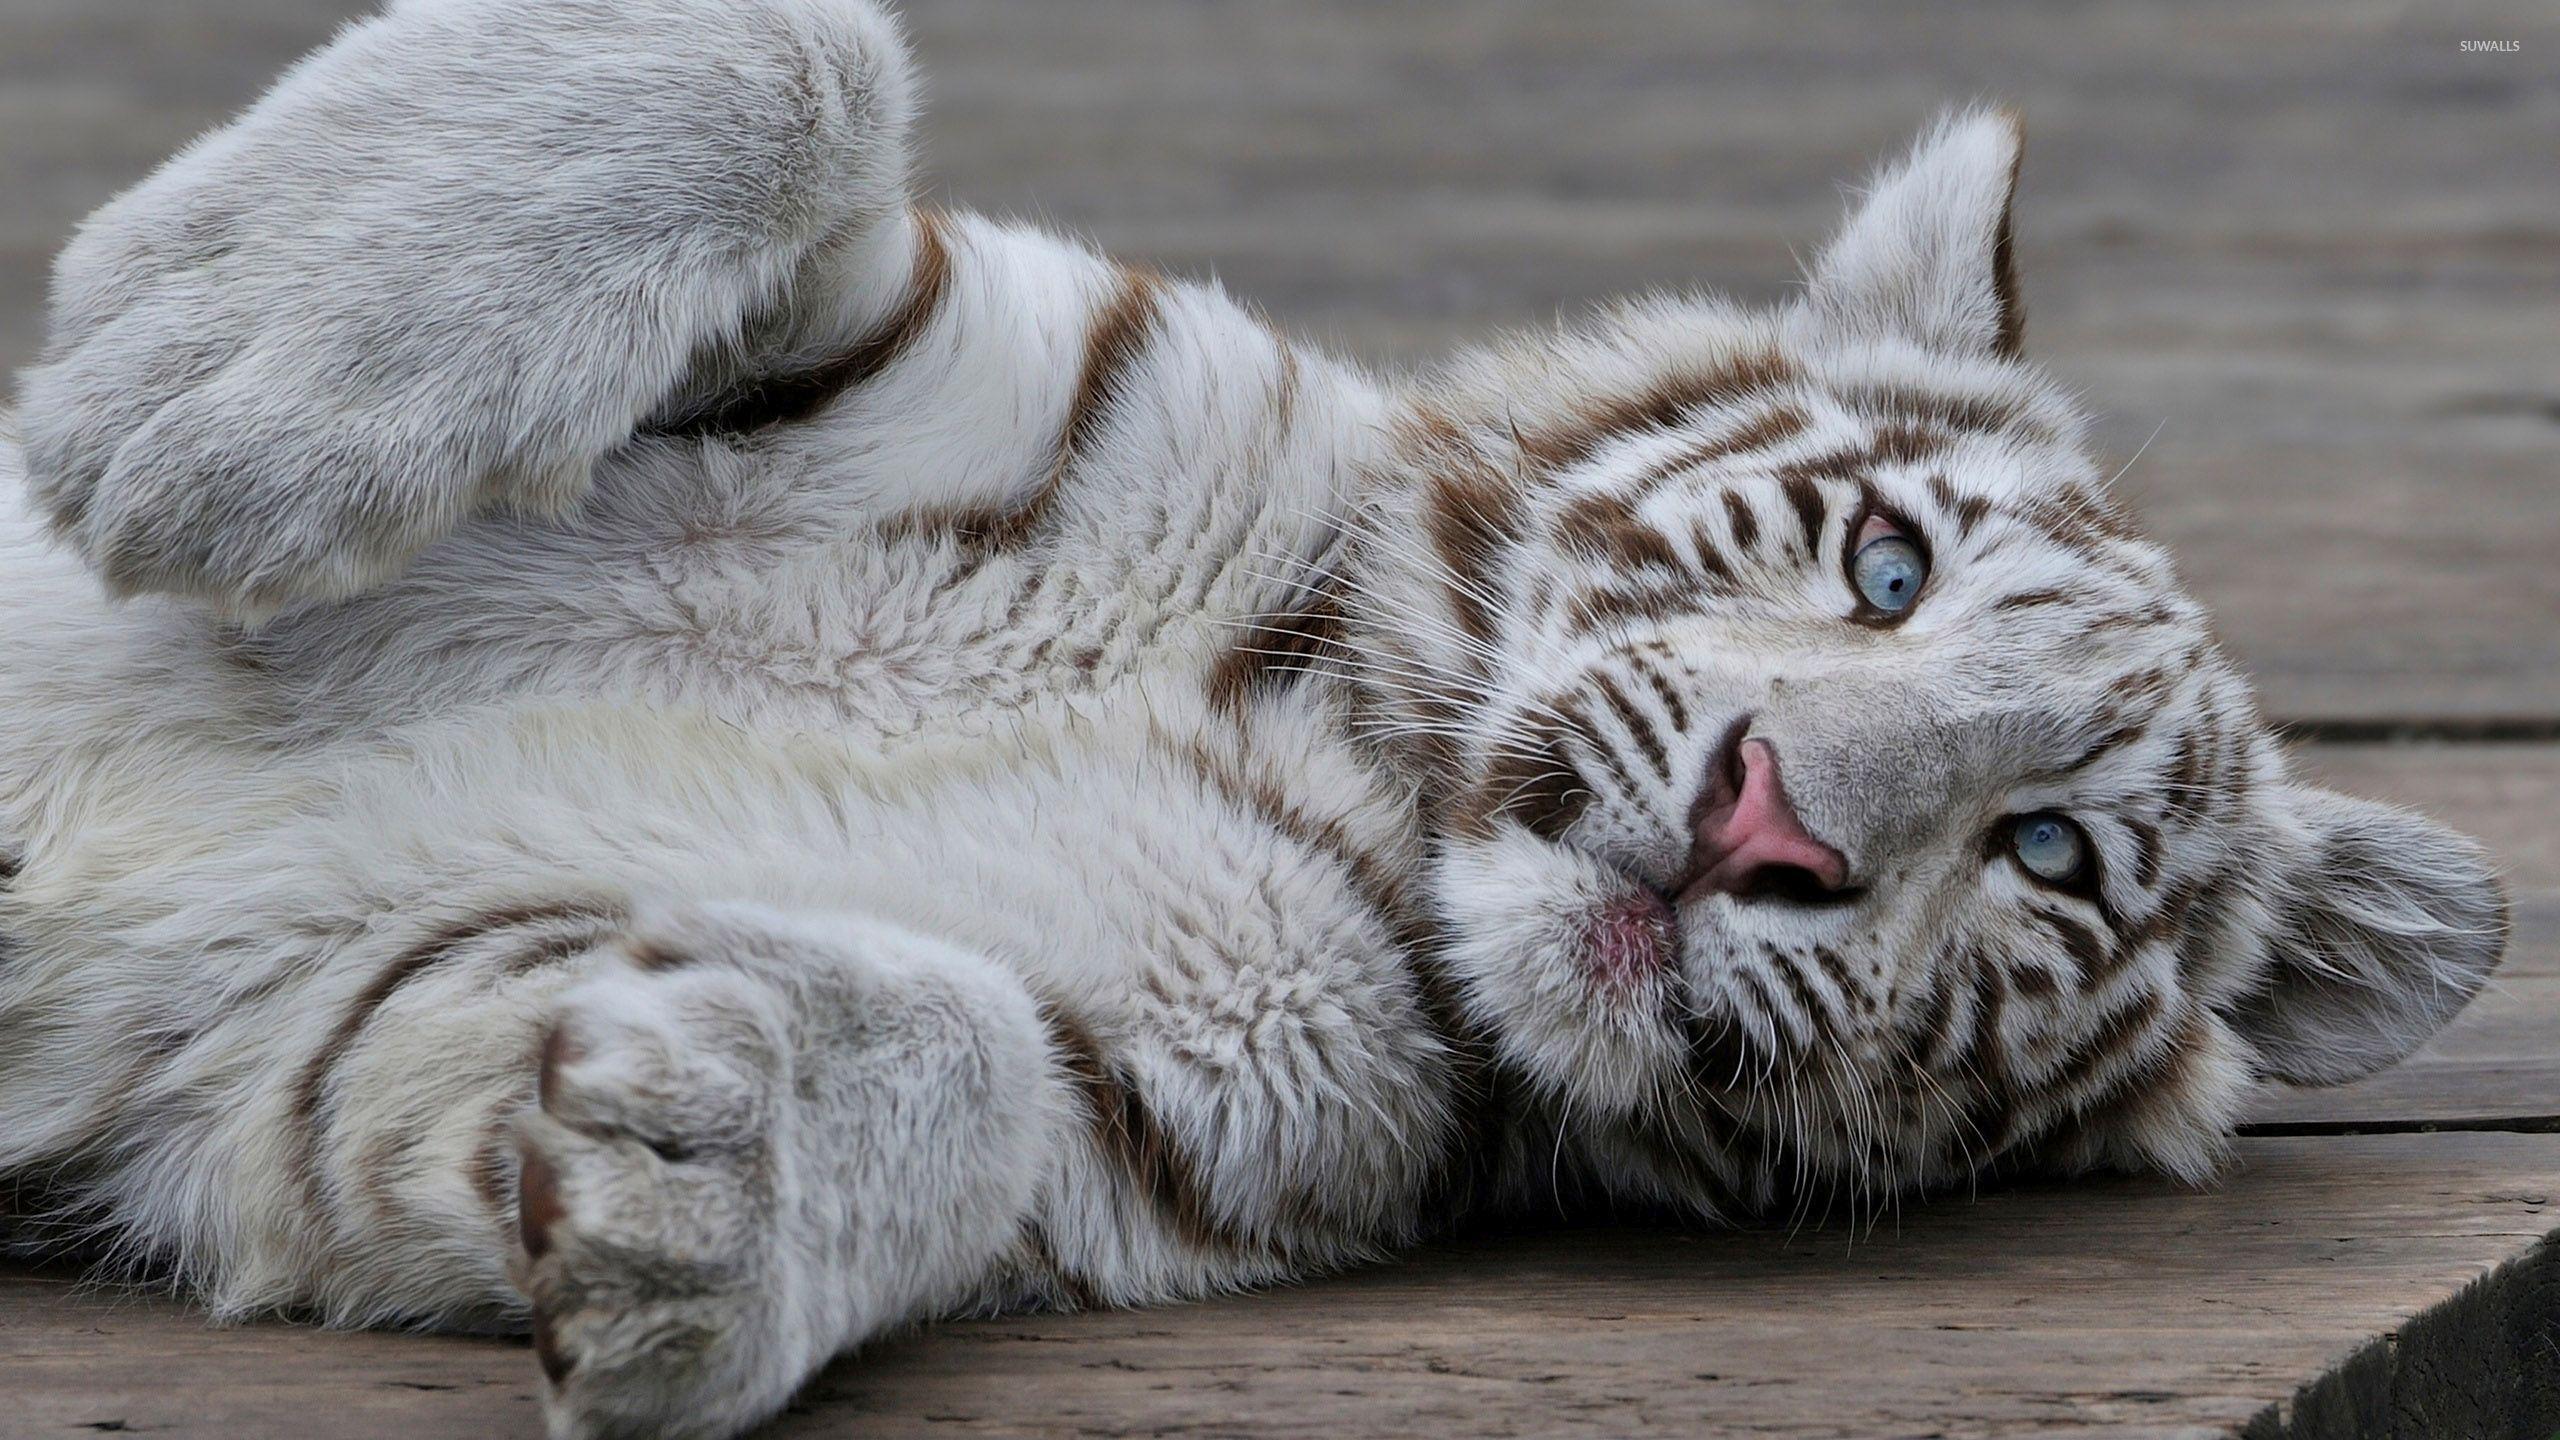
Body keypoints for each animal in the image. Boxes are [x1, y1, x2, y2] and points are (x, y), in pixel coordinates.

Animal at [0, 1, 2505, 1437]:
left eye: (2046, 856)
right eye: (1882, 571)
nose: (1768, 820)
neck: (1356, 753)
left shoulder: (323, 1038)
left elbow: (959, 1055)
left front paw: (700, 1179)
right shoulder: (929, 330)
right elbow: (787, 57)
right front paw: (198, 392)